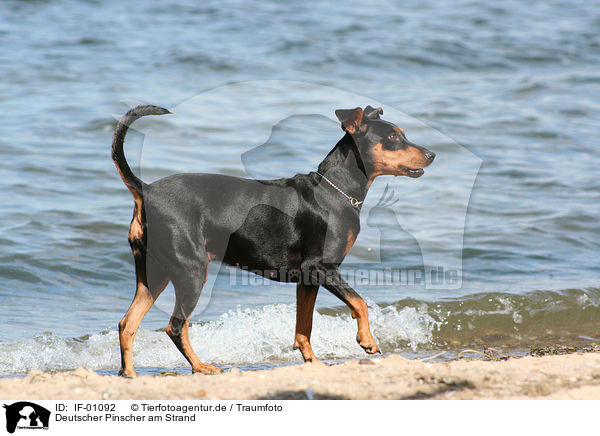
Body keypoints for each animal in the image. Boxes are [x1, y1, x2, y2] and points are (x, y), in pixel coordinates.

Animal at [110, 104, 434, 376]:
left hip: (154, 273)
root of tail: (146, 191)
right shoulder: (322, 268)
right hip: (191, 270)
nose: (432, 155)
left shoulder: (307, 278)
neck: (336, 190)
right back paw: (201, 367)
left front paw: (313, 363)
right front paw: (366, 340)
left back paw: (130, 374)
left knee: (128, 323)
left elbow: (304, 327)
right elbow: (360, 302)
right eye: (393, 136)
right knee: (175, 326)